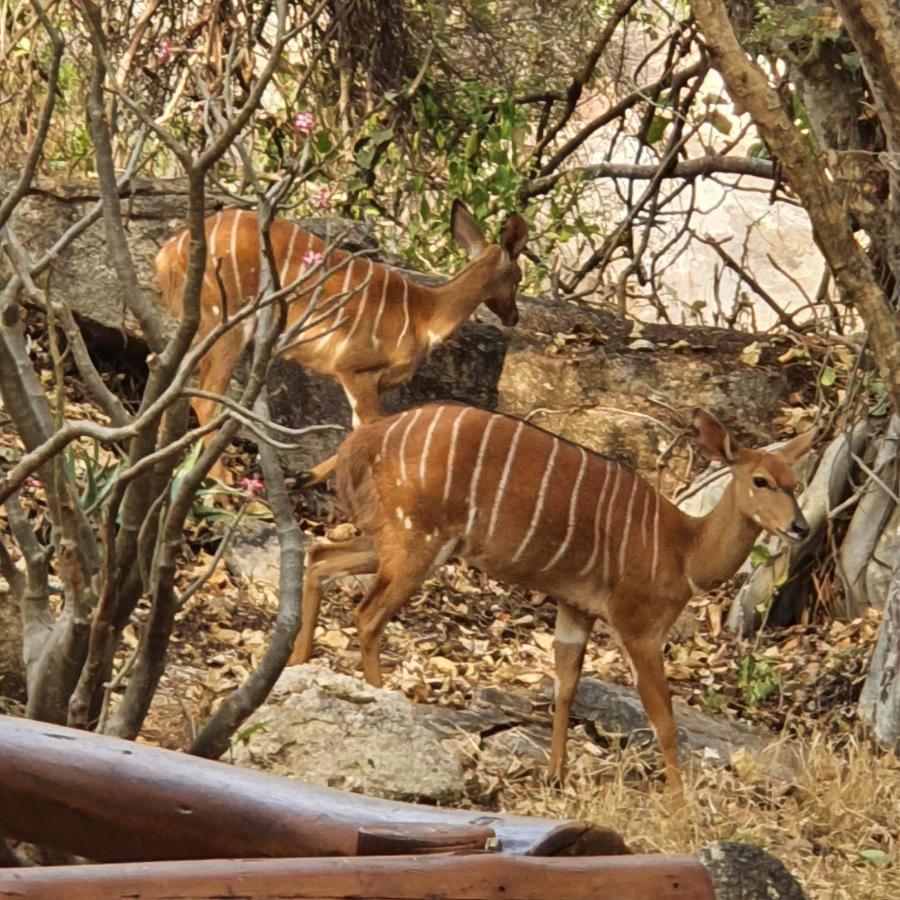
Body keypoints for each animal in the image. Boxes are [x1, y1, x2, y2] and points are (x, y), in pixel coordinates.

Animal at [155, 206, 528, 486]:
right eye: (518, 277)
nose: (514, 316)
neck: (425, 317)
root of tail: (168, 253)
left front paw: (302, 478)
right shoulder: (354, 367)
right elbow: (369, 430)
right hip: (227, 322)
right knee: (205, 400)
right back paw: (221, 486)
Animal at [290, 404, 816, 792]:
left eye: (795, 483)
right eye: (761, 481)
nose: (800, 527)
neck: (682, 549)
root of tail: (358, 441)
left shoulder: (576, 607)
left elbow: (565, 686)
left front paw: (556, 775)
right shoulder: (637, 625)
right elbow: (664, 721)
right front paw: (678, 805)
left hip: (388, 541)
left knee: (318, 557)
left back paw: (296, 667)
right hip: (415, 544)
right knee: (367, 614)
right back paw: (384, 706)